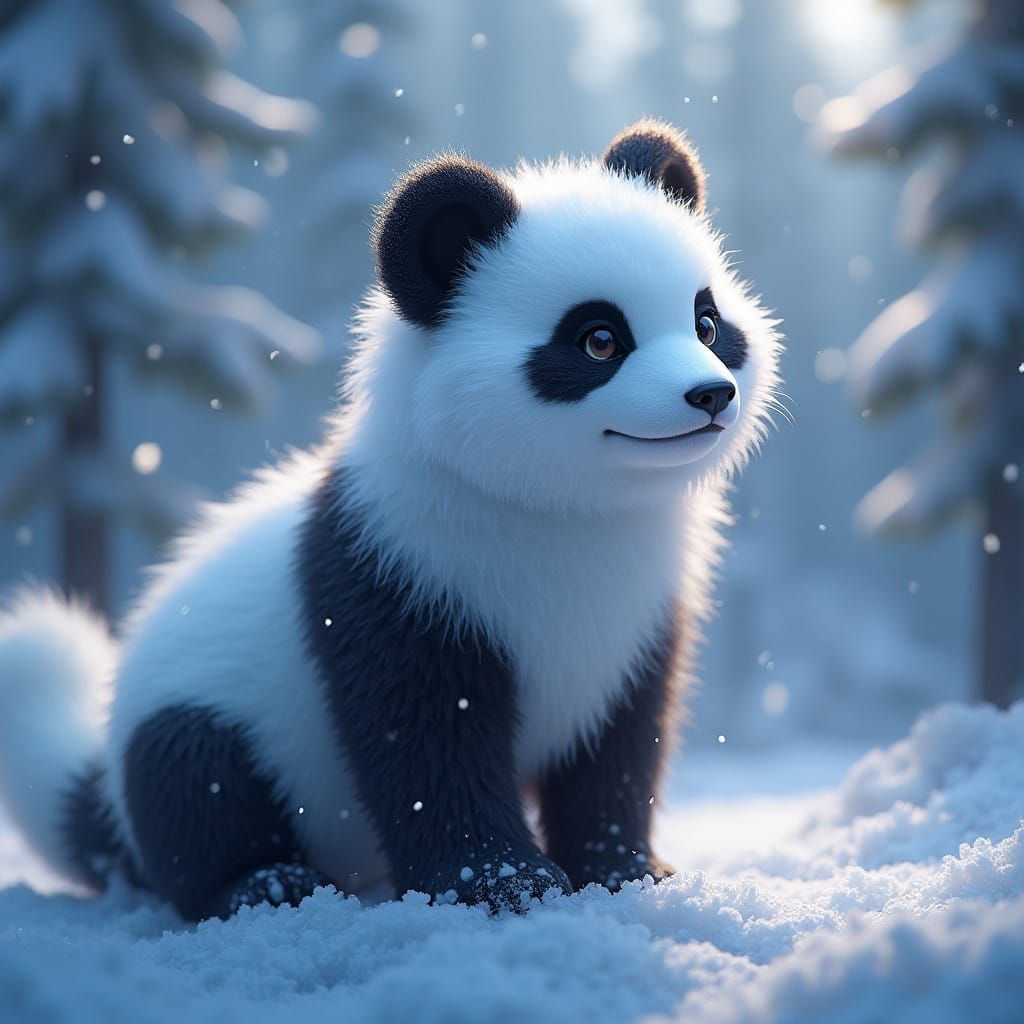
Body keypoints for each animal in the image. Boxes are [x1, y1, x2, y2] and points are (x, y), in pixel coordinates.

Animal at [0, 120, 781, 921]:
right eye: (599, 339)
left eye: (707, 323)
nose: (710, 394)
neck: (568, 508)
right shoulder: (399, 567)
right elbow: (424, 731)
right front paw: (501, 884)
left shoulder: (640, 616)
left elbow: (620, 747)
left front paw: (625, 870)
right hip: (198, 713)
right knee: (195, 787)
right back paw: (265, 882)